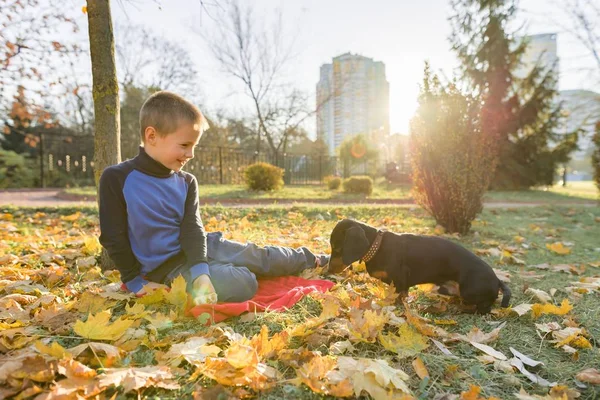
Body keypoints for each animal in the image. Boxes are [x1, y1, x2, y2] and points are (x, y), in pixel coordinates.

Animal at [328, 219, 510, 312]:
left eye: (337, 249)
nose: (329, 271)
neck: (377, 246)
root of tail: (497, 280)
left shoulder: (401, 280)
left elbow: (399, 297)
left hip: (469, 291)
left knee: (486, 305)